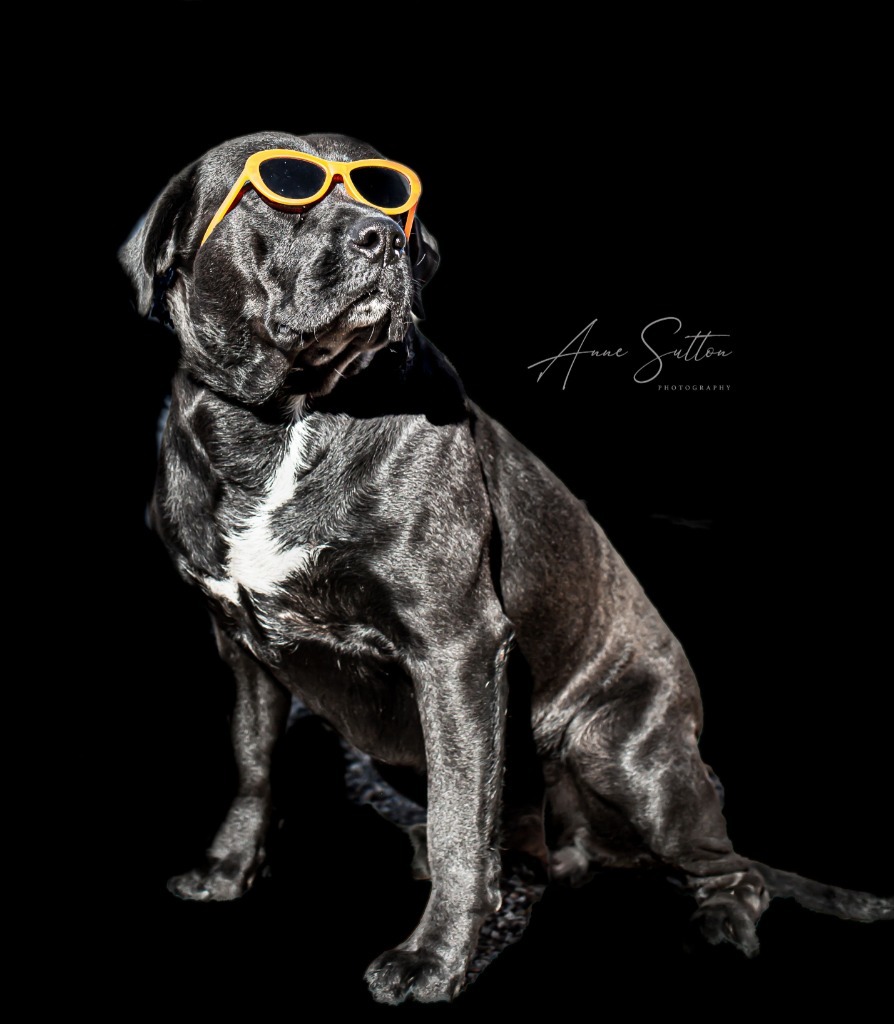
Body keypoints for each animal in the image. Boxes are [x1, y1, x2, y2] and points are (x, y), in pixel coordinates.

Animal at [116, 132, 884, 1003]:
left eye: (390, 200)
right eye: (282, 191)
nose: (382, 239)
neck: (286, 420)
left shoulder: (456, 649)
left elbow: (460, 822)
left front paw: (434, 959)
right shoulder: (240, 648)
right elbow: (252, 765)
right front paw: (227, 869)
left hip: (625, 752)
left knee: (727, 866)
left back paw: (716, 923)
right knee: (535, 855)